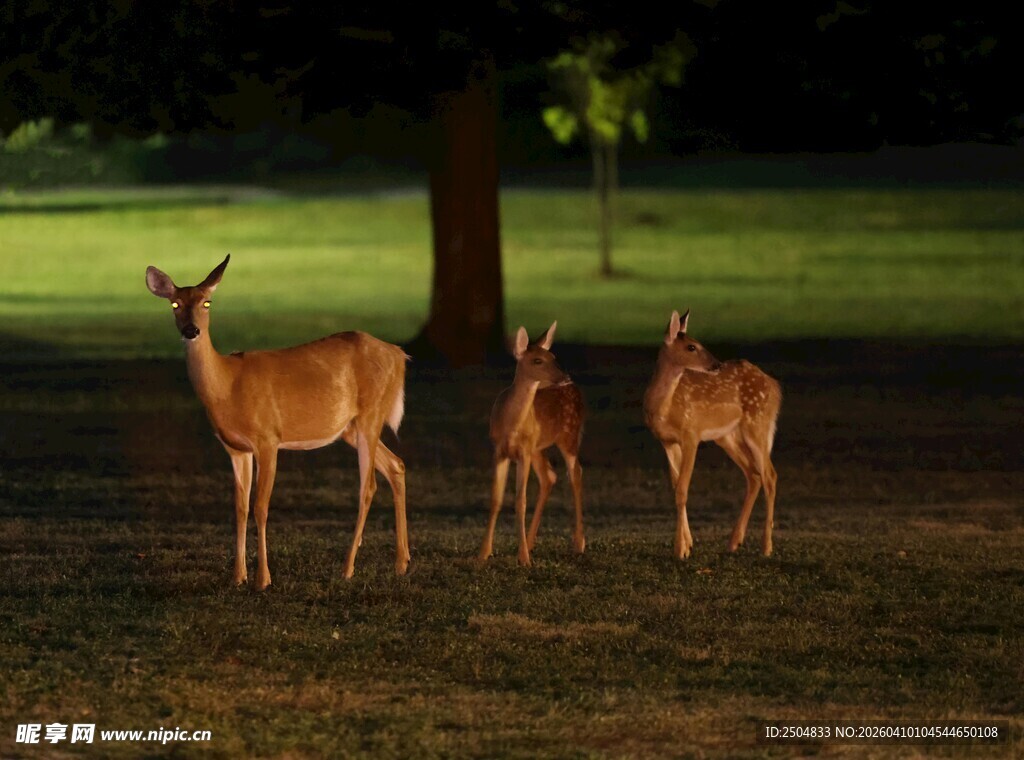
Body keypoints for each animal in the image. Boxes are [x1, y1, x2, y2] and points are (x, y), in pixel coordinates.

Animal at [145, 255, 410, 590]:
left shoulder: (268, 438)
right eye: (175, 304)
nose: (191, 330)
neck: (226, 386)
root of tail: (399, 356)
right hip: (349, 428)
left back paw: (347, 568)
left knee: (369, 485)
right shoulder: (235, 448)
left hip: (370, 415)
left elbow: (261, 506)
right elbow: (240, 507)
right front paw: (238, 576)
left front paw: (263, 579)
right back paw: (402, 563)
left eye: (207, 302)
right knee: (396, 465)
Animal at [478, 322, 586, 568]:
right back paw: (530, 541)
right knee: (550, 476)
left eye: (553, 356)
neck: (511, 426)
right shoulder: (500, 450)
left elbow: (520, 501)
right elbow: (496, 498)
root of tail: (576, 389)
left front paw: (524, 558)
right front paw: (483, 553)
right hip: (538, 447)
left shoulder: (524, 452)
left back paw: (579, 543)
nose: (565, 375)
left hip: (569, 435)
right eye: (537, 360)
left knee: (575, 473)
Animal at [644, 310, 781, 559]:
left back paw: (766, 547)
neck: (665, 409)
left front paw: (680, 550)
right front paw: (688, 544)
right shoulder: (667, 442)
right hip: (727, 436)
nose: (717, 364)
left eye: (698, 342)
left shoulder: (691, 433)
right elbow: (675, 487)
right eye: (691, 347)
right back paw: (734, 542)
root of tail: (774, 385)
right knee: (754, 474)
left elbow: (682, 490)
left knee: (770, 475)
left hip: (757, 424)